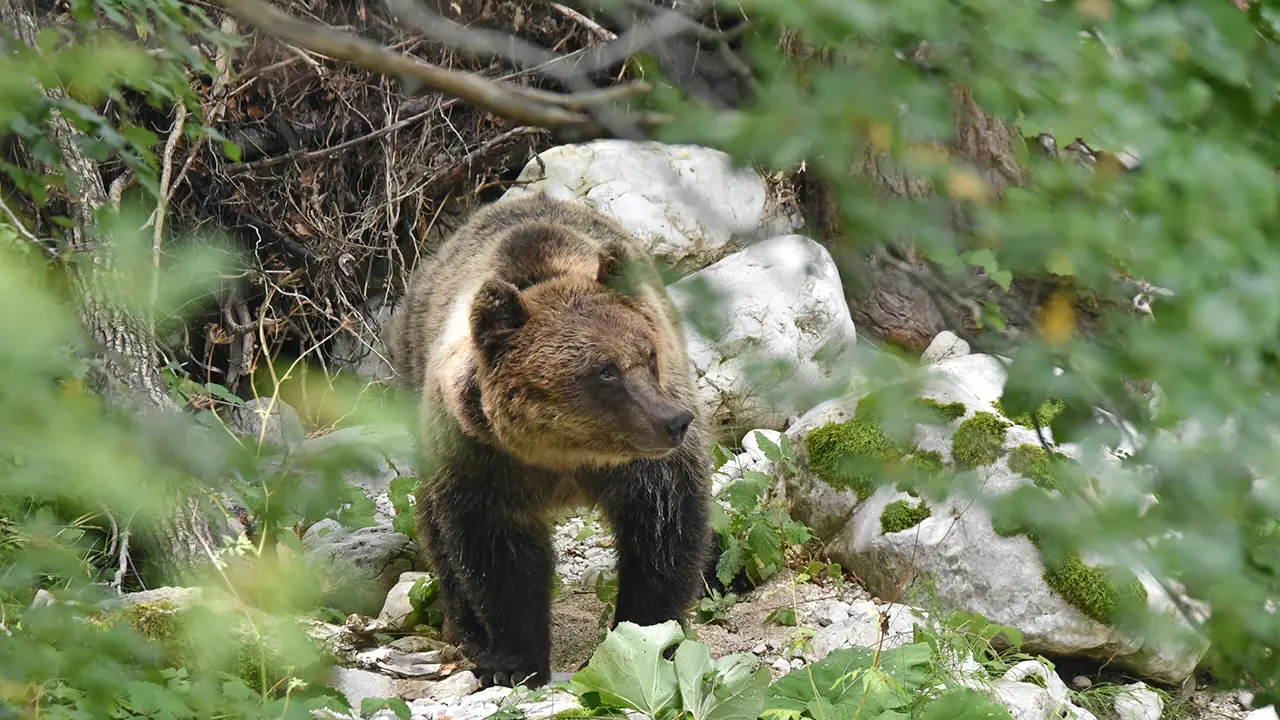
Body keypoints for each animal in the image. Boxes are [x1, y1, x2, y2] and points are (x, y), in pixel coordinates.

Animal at [389, 193, 716, 686]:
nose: (675, 420)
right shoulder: (483, 457)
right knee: (434, 526)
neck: (567, 450)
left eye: (648, 355)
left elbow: (662, 527)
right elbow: (496, 552)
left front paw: (646, 638)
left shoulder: (644, 465)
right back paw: (468, 630)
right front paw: (513, 663)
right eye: (605, 371)